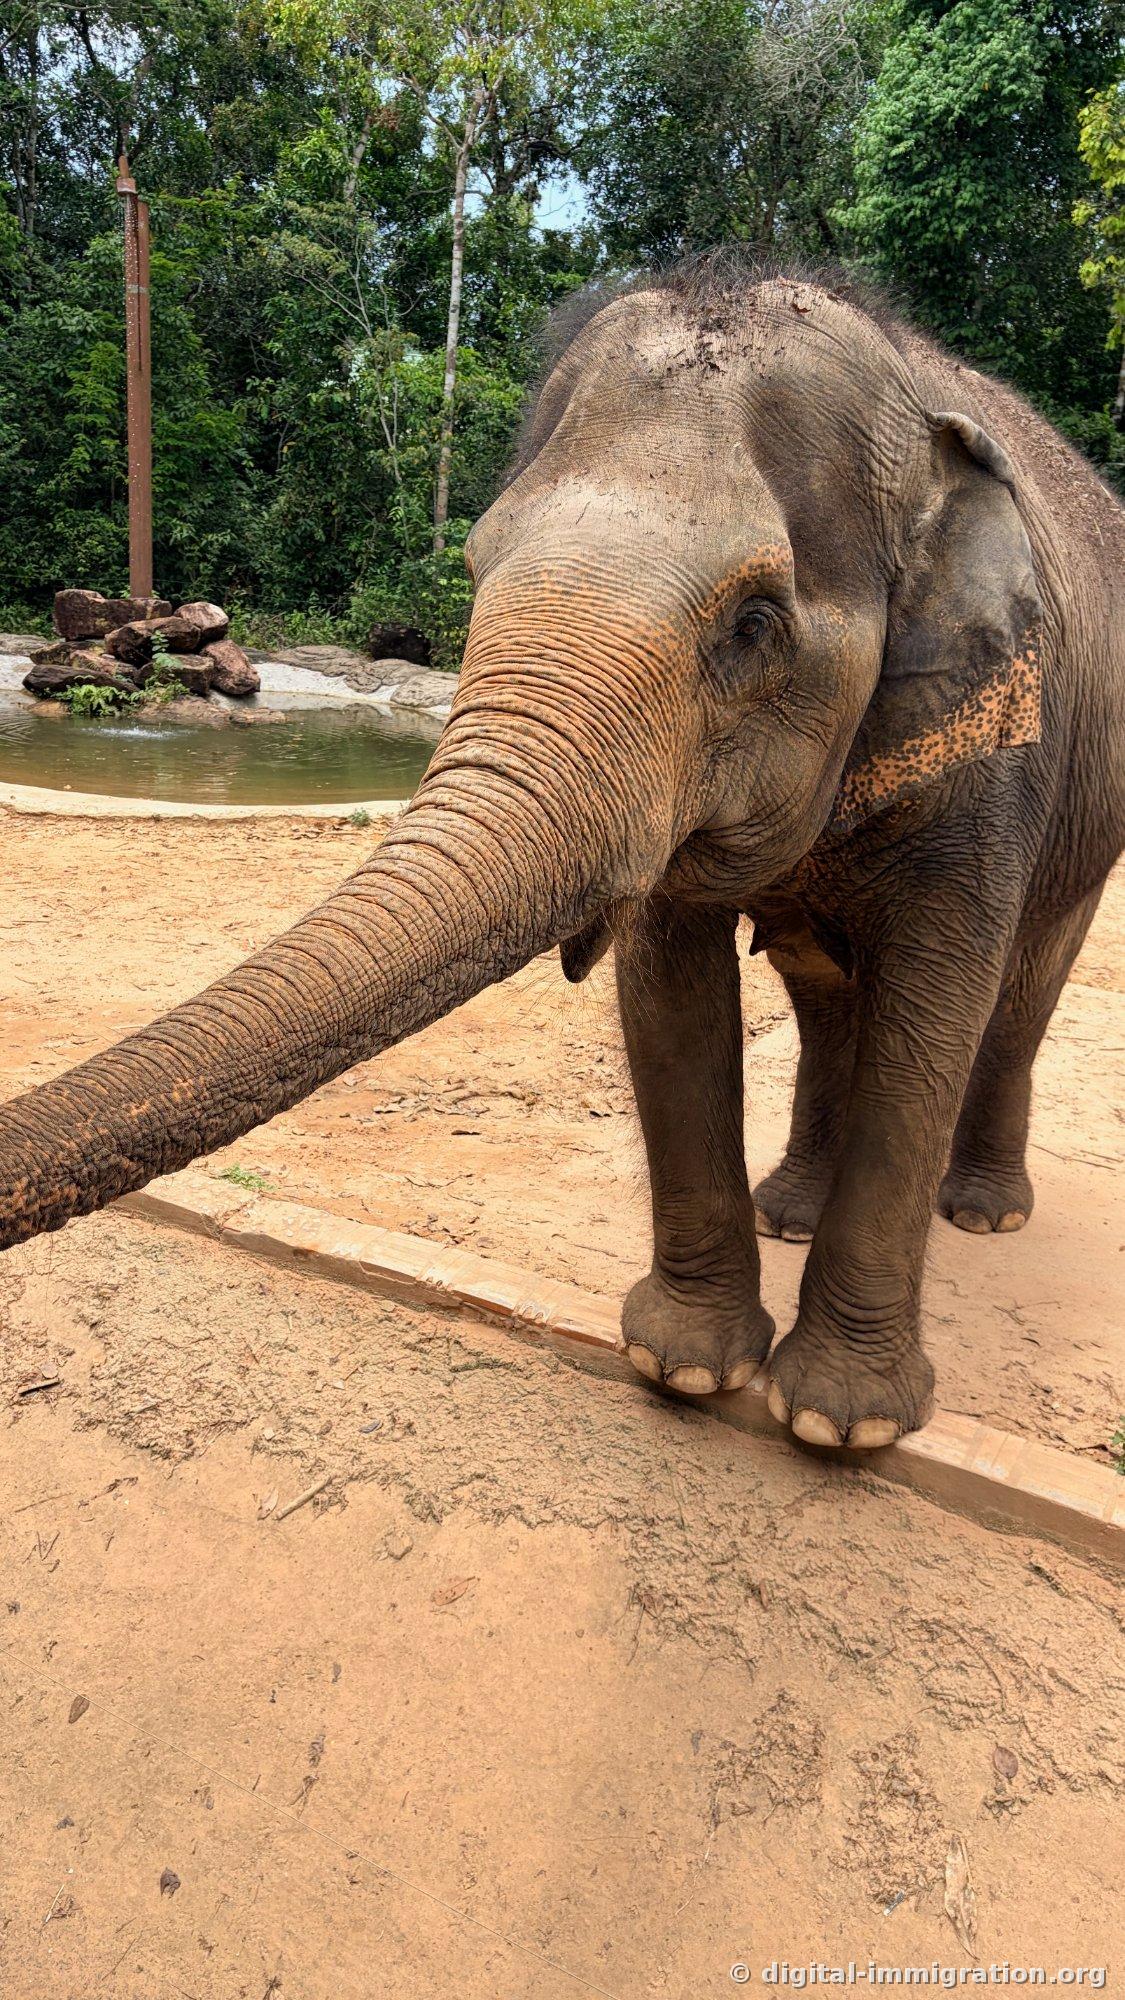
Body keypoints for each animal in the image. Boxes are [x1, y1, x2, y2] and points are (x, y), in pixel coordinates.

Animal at [1, 257, 1122, 1451]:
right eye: (477, 565)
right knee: (824, 990)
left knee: (1024, 986)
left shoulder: (1000, 748)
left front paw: (838, 1425)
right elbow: (670, 994)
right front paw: (686, 1367)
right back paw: (788, 1210)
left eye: (754, 624)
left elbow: (936, 1002)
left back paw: (984, 1212)